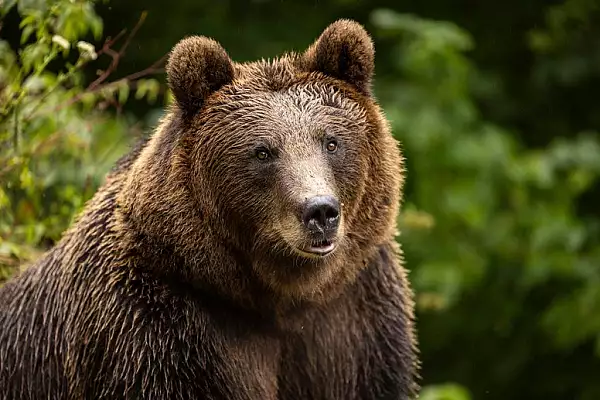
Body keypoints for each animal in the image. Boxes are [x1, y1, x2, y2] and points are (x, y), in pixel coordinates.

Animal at [0, 19, 420, 400]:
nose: (319, 212)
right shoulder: (156, 328)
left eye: (331, 142)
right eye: (263, 152)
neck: (281, 298)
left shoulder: (352, 318)